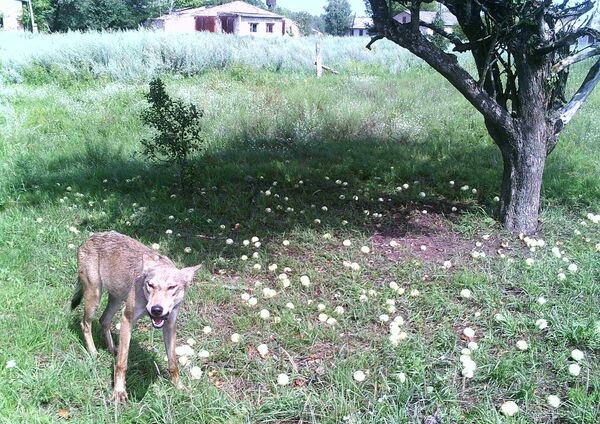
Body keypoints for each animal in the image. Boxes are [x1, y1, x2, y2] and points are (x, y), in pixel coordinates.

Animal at [70, 230, 202, 402]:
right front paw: (119, 392)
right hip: (95, 298)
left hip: (116, 300)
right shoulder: (127, 319)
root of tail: (91, 237)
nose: (156, 309)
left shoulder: (170, 325)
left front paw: (179, 387)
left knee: (104, 321)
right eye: (150, 285)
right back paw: (93, 353)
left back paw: (112, 349)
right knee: (85, 324)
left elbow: (173, 363)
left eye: (172, 287)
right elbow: (122, 364)